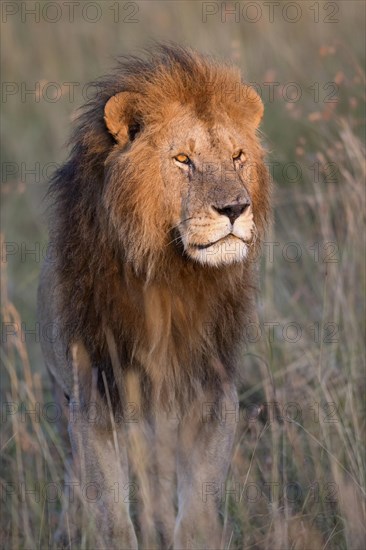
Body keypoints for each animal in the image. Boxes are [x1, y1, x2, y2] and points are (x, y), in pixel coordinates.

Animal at [38, 44, 270, 550]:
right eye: (183, 158)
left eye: (238, 156)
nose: (235, 208)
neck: (169, 273)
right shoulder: (94, 397)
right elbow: (111, 515)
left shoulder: (213, 393)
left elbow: (197, 512)